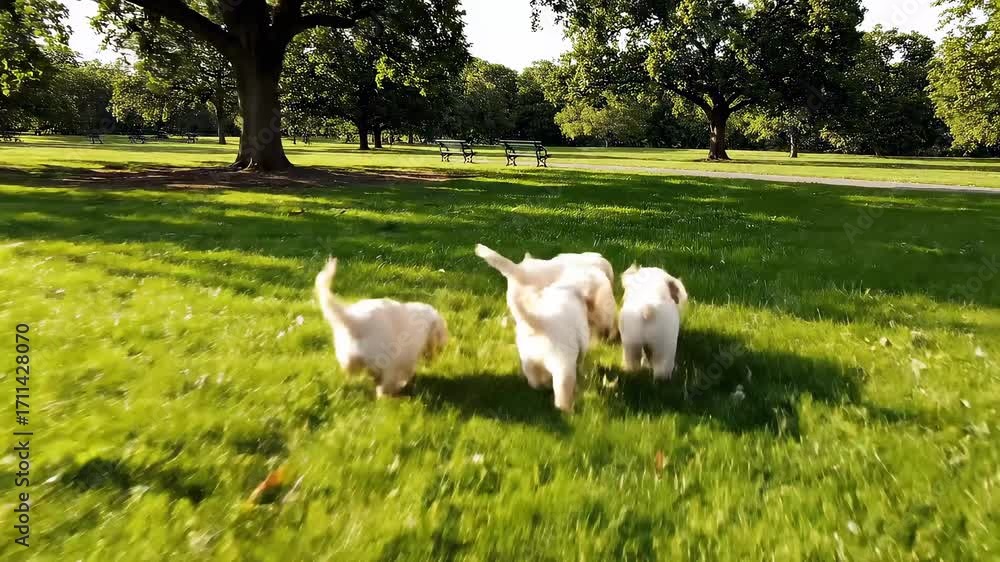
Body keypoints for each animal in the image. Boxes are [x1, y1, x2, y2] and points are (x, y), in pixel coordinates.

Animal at [314, 258, 448, 397]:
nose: (439, 351)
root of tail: (357, 320)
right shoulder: (406, 356)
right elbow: (405, 372)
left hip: (348, 356)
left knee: (352, 370)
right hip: (387, 360)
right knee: (385, 383)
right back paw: (387, 393)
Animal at [476, 244, 589, 411]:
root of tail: (539, 323)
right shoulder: (583, 336)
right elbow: (582, 355)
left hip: (528, 360)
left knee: (534, 381)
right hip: (563, 366)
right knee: (562, 392)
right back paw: (567, 409)